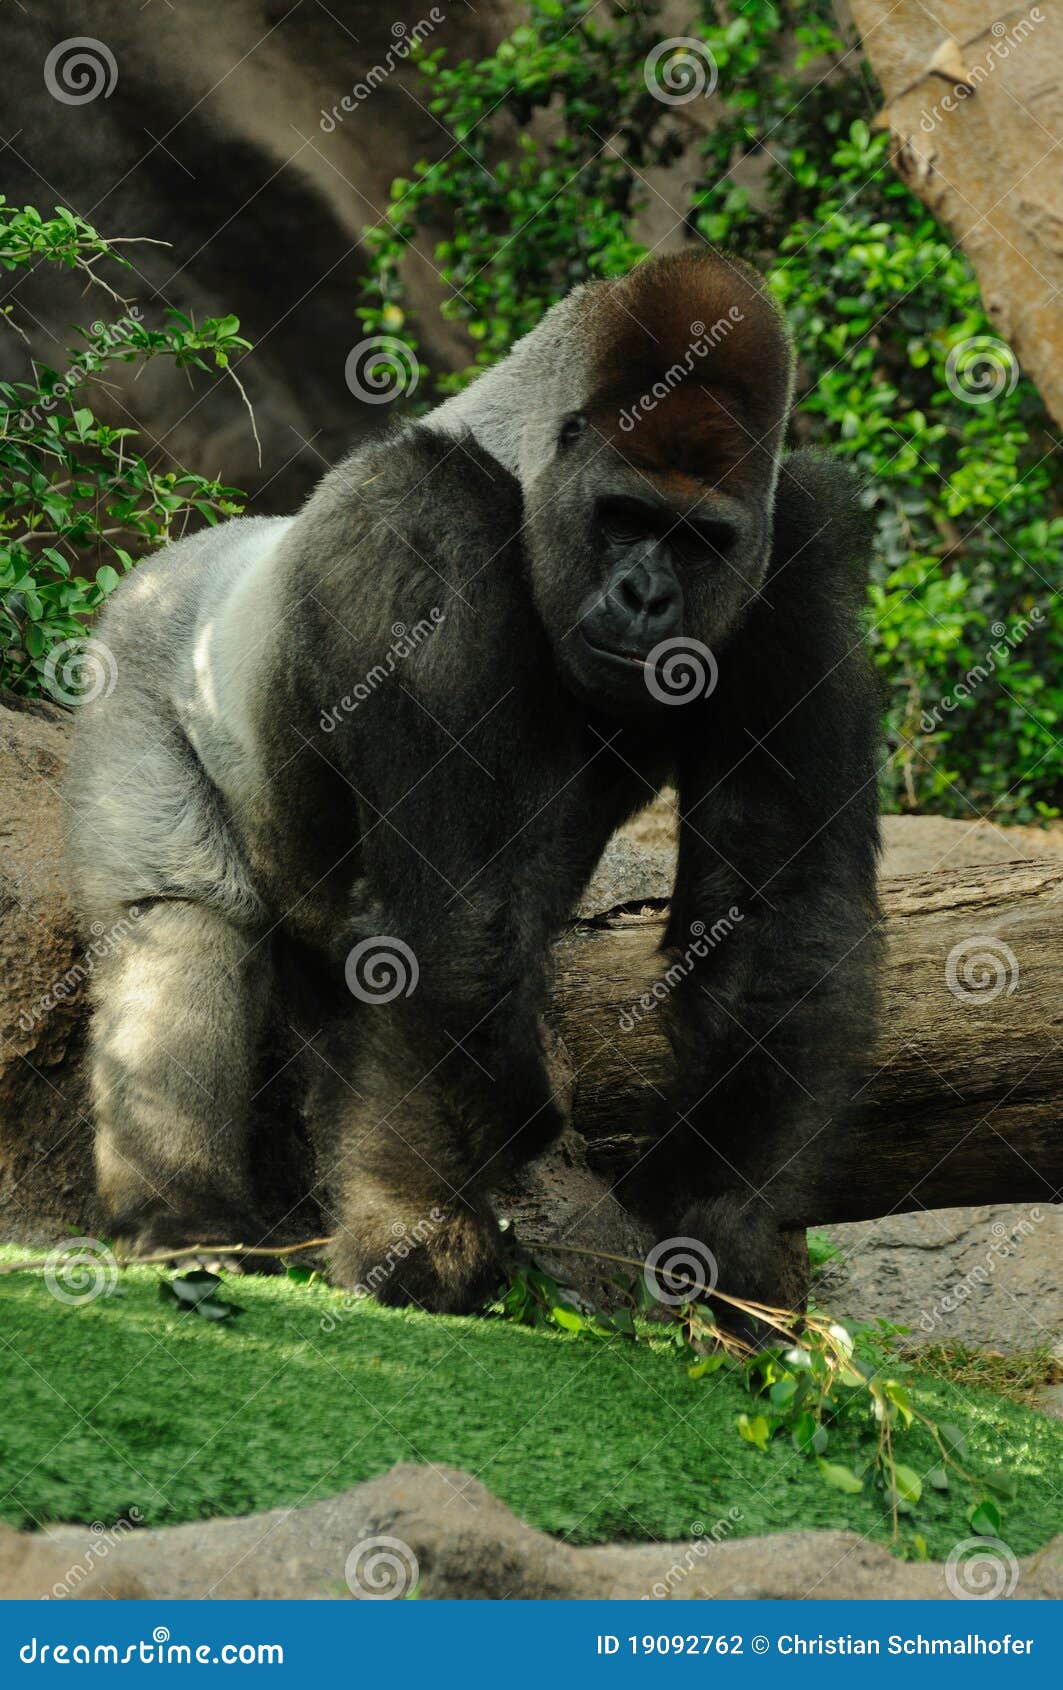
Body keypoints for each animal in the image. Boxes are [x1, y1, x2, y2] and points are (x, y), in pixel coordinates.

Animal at [64, 248, 881, 1317]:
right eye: (624, 518)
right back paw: (188, 1218)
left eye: (700, 541)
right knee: (180, 915)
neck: (527, 463)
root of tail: (179, 554)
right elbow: (450, 914)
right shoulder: (421, 519)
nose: (646, 597)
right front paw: (449, 1209)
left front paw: (713, 1219)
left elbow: (777, 906)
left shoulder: (799, 552)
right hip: (135, 657)